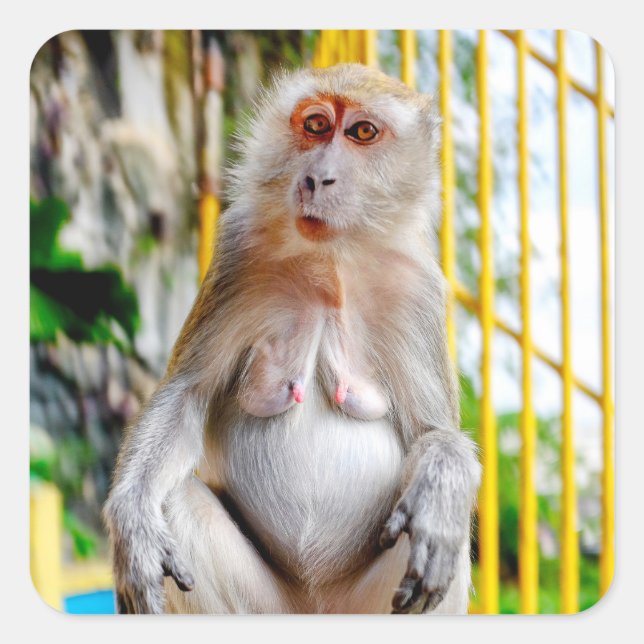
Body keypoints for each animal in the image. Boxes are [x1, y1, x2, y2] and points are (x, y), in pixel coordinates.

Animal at [103, 63, 481, 615]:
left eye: (362, 132)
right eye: (316, 125)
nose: (317, 177)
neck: (331, 261)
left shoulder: (419, 290)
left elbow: (432, 434)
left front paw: (443, 488)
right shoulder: (238, 251)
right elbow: (187, 393)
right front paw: (133, 523)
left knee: (438, 547)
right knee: (178, 502)